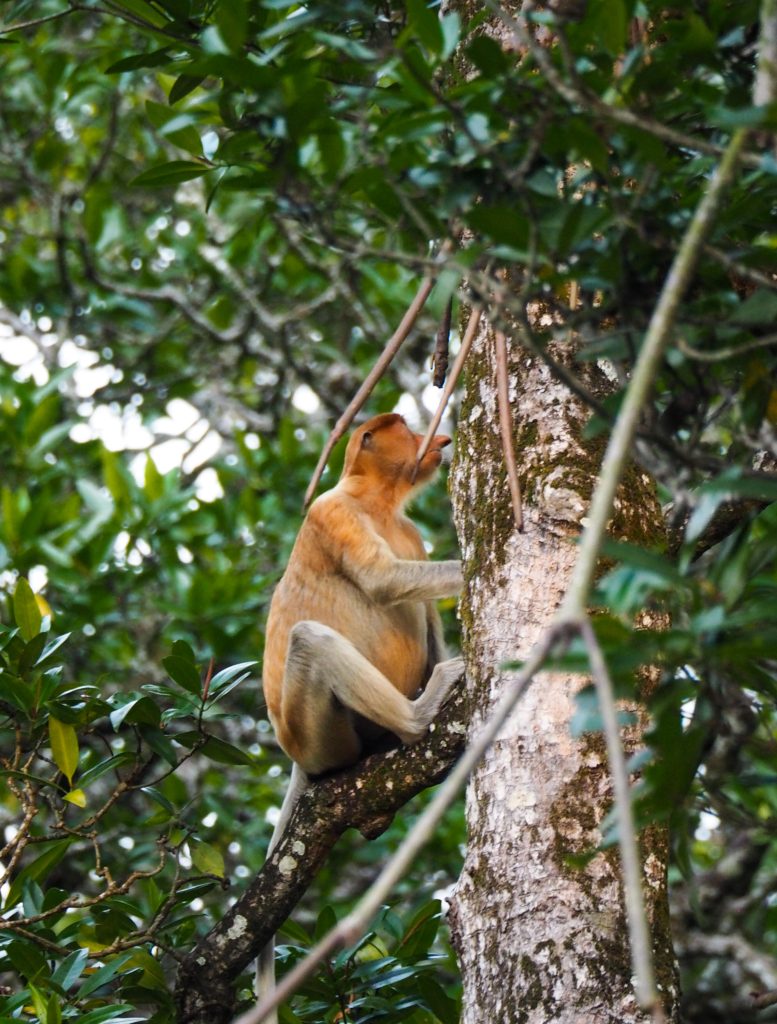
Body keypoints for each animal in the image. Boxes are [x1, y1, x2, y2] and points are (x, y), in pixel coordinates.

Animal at [256, 412, 464, 1022]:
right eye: (409, 429)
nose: (440, 439)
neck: (378, 501)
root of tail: (296, 754)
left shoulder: (410, 534)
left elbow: (422, 606)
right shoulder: (332, 513)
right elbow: (384, 579)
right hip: (318, 734)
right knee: (311, 638)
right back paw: (420, 714)